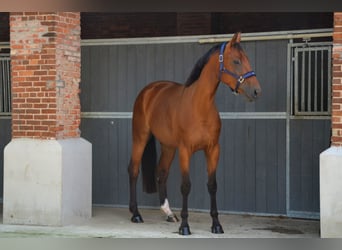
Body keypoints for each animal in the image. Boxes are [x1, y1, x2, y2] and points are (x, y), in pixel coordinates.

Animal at [128, 32, 262, 234]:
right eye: (236, 61)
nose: (256, 91)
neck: (200, 106)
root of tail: (148, 91)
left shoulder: (213, 150)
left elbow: (212, 185)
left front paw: (216, 224)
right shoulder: (185, 150)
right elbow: (186, 186)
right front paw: (185, 226)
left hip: (168, 146)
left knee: (162, 172)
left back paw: (169, 213)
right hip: (140, 138)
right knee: (134, 170)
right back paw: (135, 214)